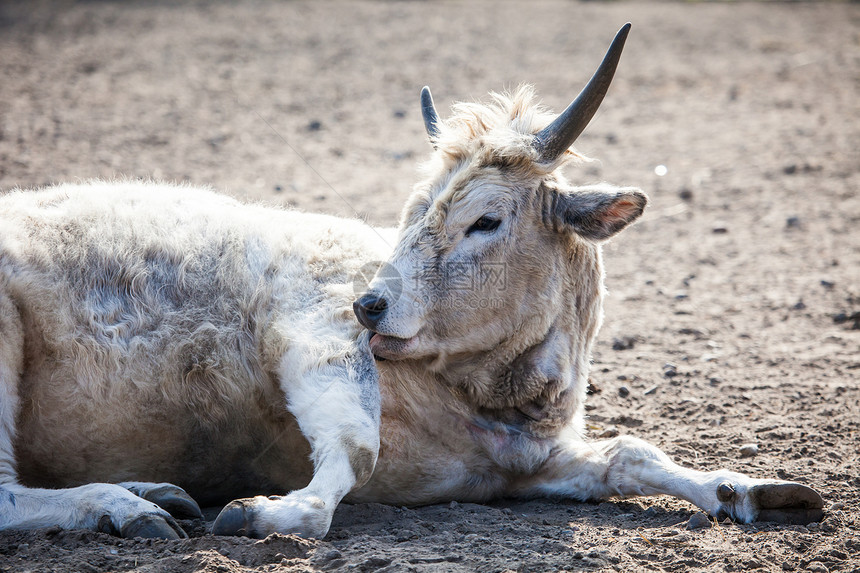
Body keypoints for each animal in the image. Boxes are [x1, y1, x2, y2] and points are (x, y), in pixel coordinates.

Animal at [0, 23, 824, 540]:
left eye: (485, 220)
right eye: (413, 209)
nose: (371, 302)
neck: (490, 395)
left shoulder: (527, 467)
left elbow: (630, 452)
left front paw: (749, 490)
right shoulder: (316, 327)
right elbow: (356, 448)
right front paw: (268, 513)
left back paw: (153, 492)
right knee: (5, 492)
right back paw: (122, 506)